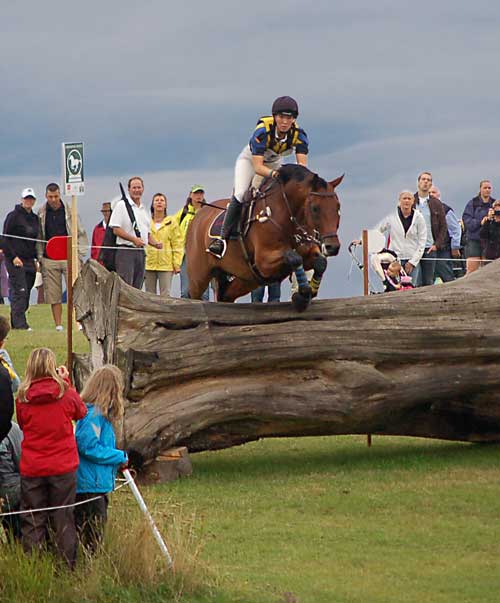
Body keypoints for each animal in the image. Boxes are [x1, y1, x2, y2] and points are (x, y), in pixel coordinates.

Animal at [186, 164, 342, 312]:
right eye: (315, 208)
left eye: (338, 207)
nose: (332, 247)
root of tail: (198, 216)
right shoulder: (264, 262)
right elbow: (294, 258)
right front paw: (302, 295)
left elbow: (320, 262)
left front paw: (310, 292)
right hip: (198, 277)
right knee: (195, 296)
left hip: (247, 279)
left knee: (226, 295)